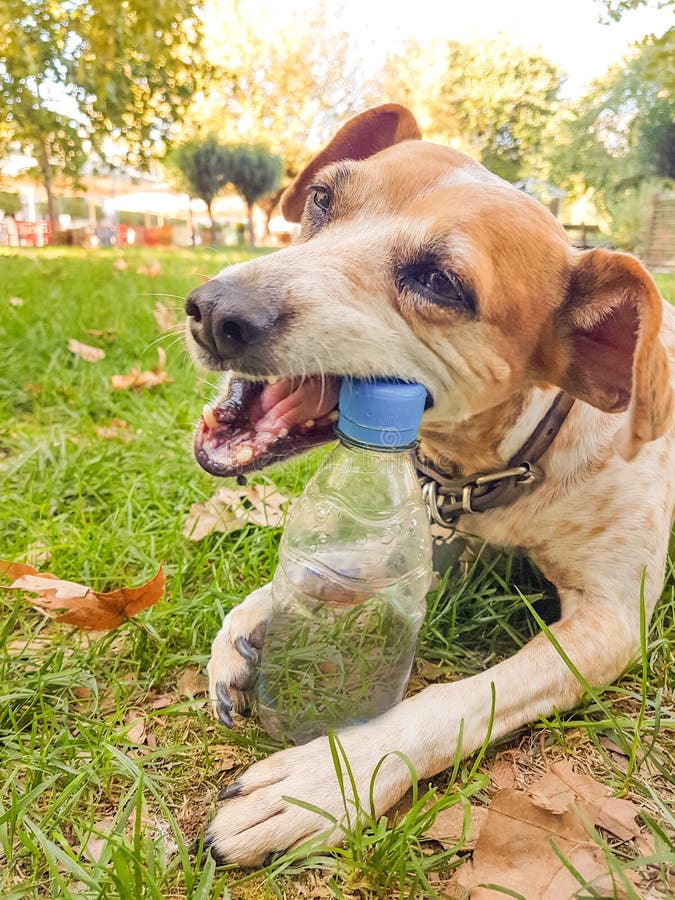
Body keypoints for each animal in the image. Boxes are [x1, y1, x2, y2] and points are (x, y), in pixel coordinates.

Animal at [185, 100, 675, 864]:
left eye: (440, 283)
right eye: (321, 198)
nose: (213, 311)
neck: (503, 456)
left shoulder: (610, 620)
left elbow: (460, 699)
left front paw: (328, 779)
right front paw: (250, 617)